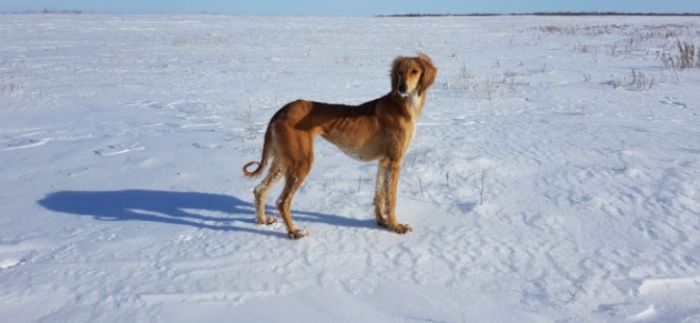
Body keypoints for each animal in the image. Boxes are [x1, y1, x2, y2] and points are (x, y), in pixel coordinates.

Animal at [243, 53, 434, 240]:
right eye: (400, 71)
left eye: (414, 71)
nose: (402, 88)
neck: (403, 104)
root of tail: (281, 110)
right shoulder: (394, 161)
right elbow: (391, 199)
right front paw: (396, 226)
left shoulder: (383, 161)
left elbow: (379, 195)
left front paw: (381, 221)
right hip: (301, 162)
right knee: (282, 201)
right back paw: (294, 232)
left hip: (284, 160)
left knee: (260, 190)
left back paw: (262, 220)